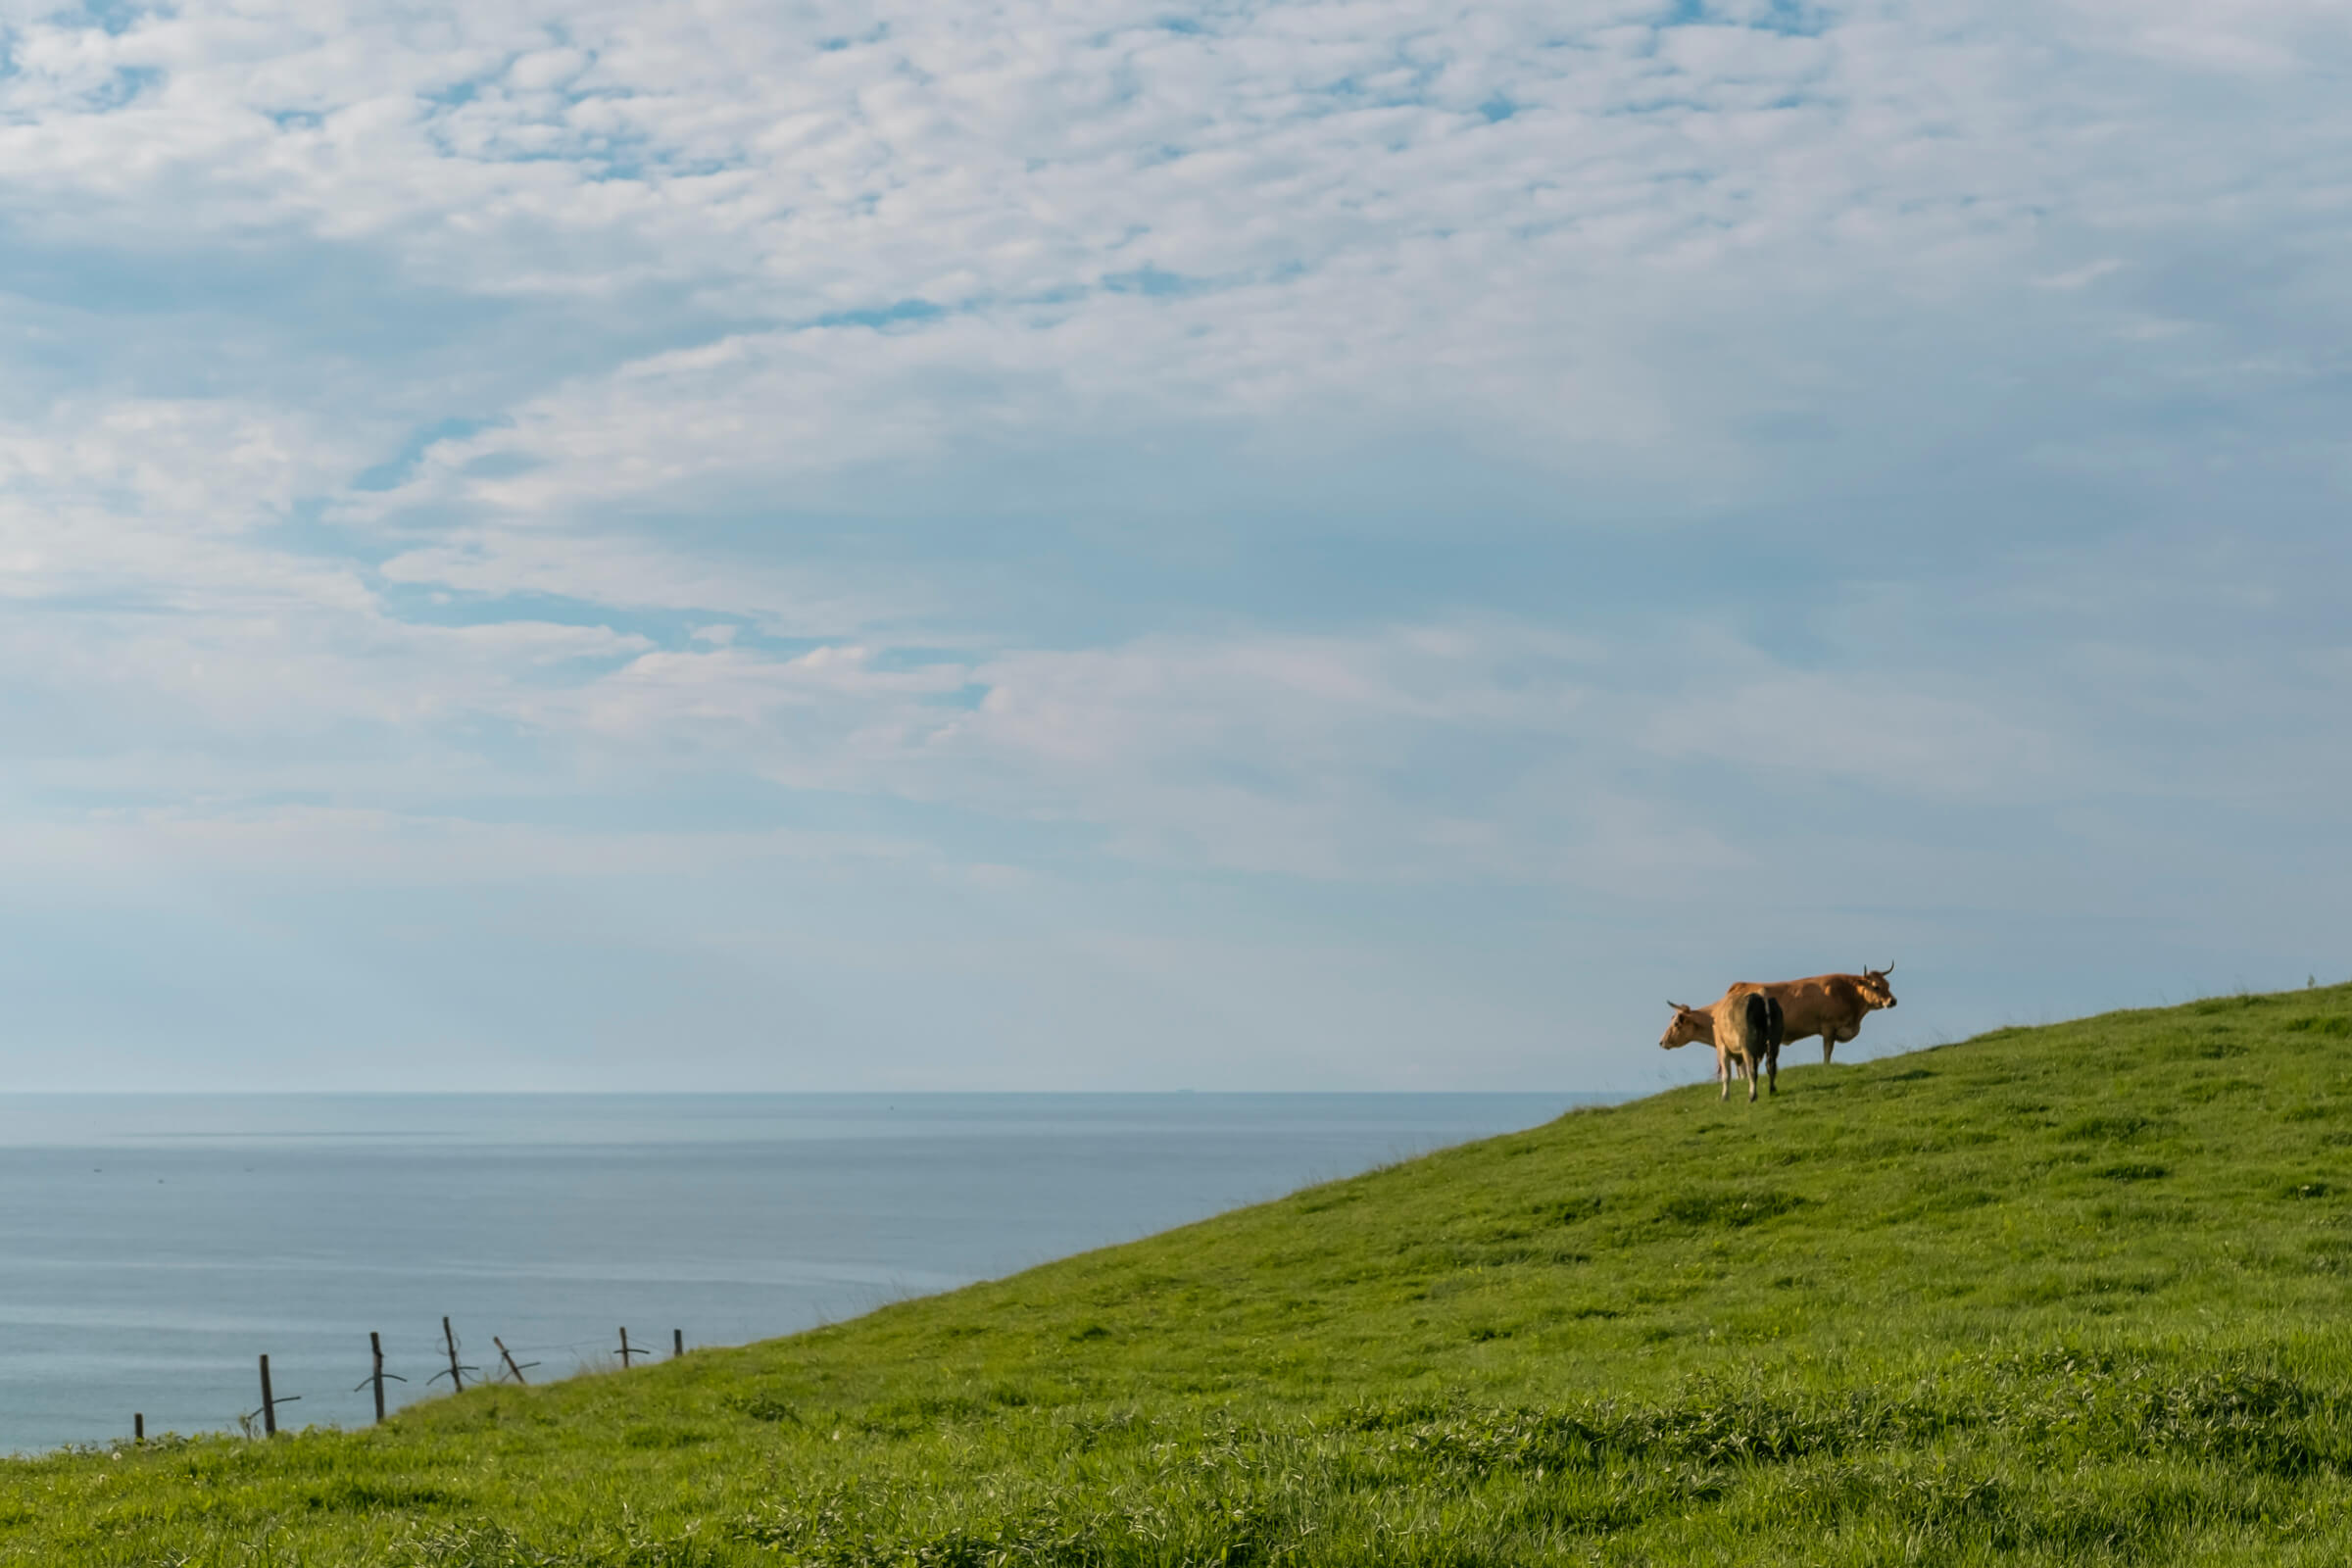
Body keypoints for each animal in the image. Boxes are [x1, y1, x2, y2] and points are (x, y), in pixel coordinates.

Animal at [1659, 990, 1786, 1103]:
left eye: (1676, 1023)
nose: (1661, 1041)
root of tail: (1761, 997)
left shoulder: (1722, 1048)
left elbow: (1726, 1075)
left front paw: (1724, 1097)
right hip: (1774, 1043)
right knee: (1771, 1066)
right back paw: (1772, 1091)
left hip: (1748, 1047)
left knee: (1752, 1070)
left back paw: (1752, 1096)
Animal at [1732, 966, 1897, 1066]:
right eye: (1876, 986)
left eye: (1888, 985)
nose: (1892, 1001)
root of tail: (1740, 985)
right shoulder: (1828, 1027)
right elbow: (1827, 1050)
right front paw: (1826, 1066)